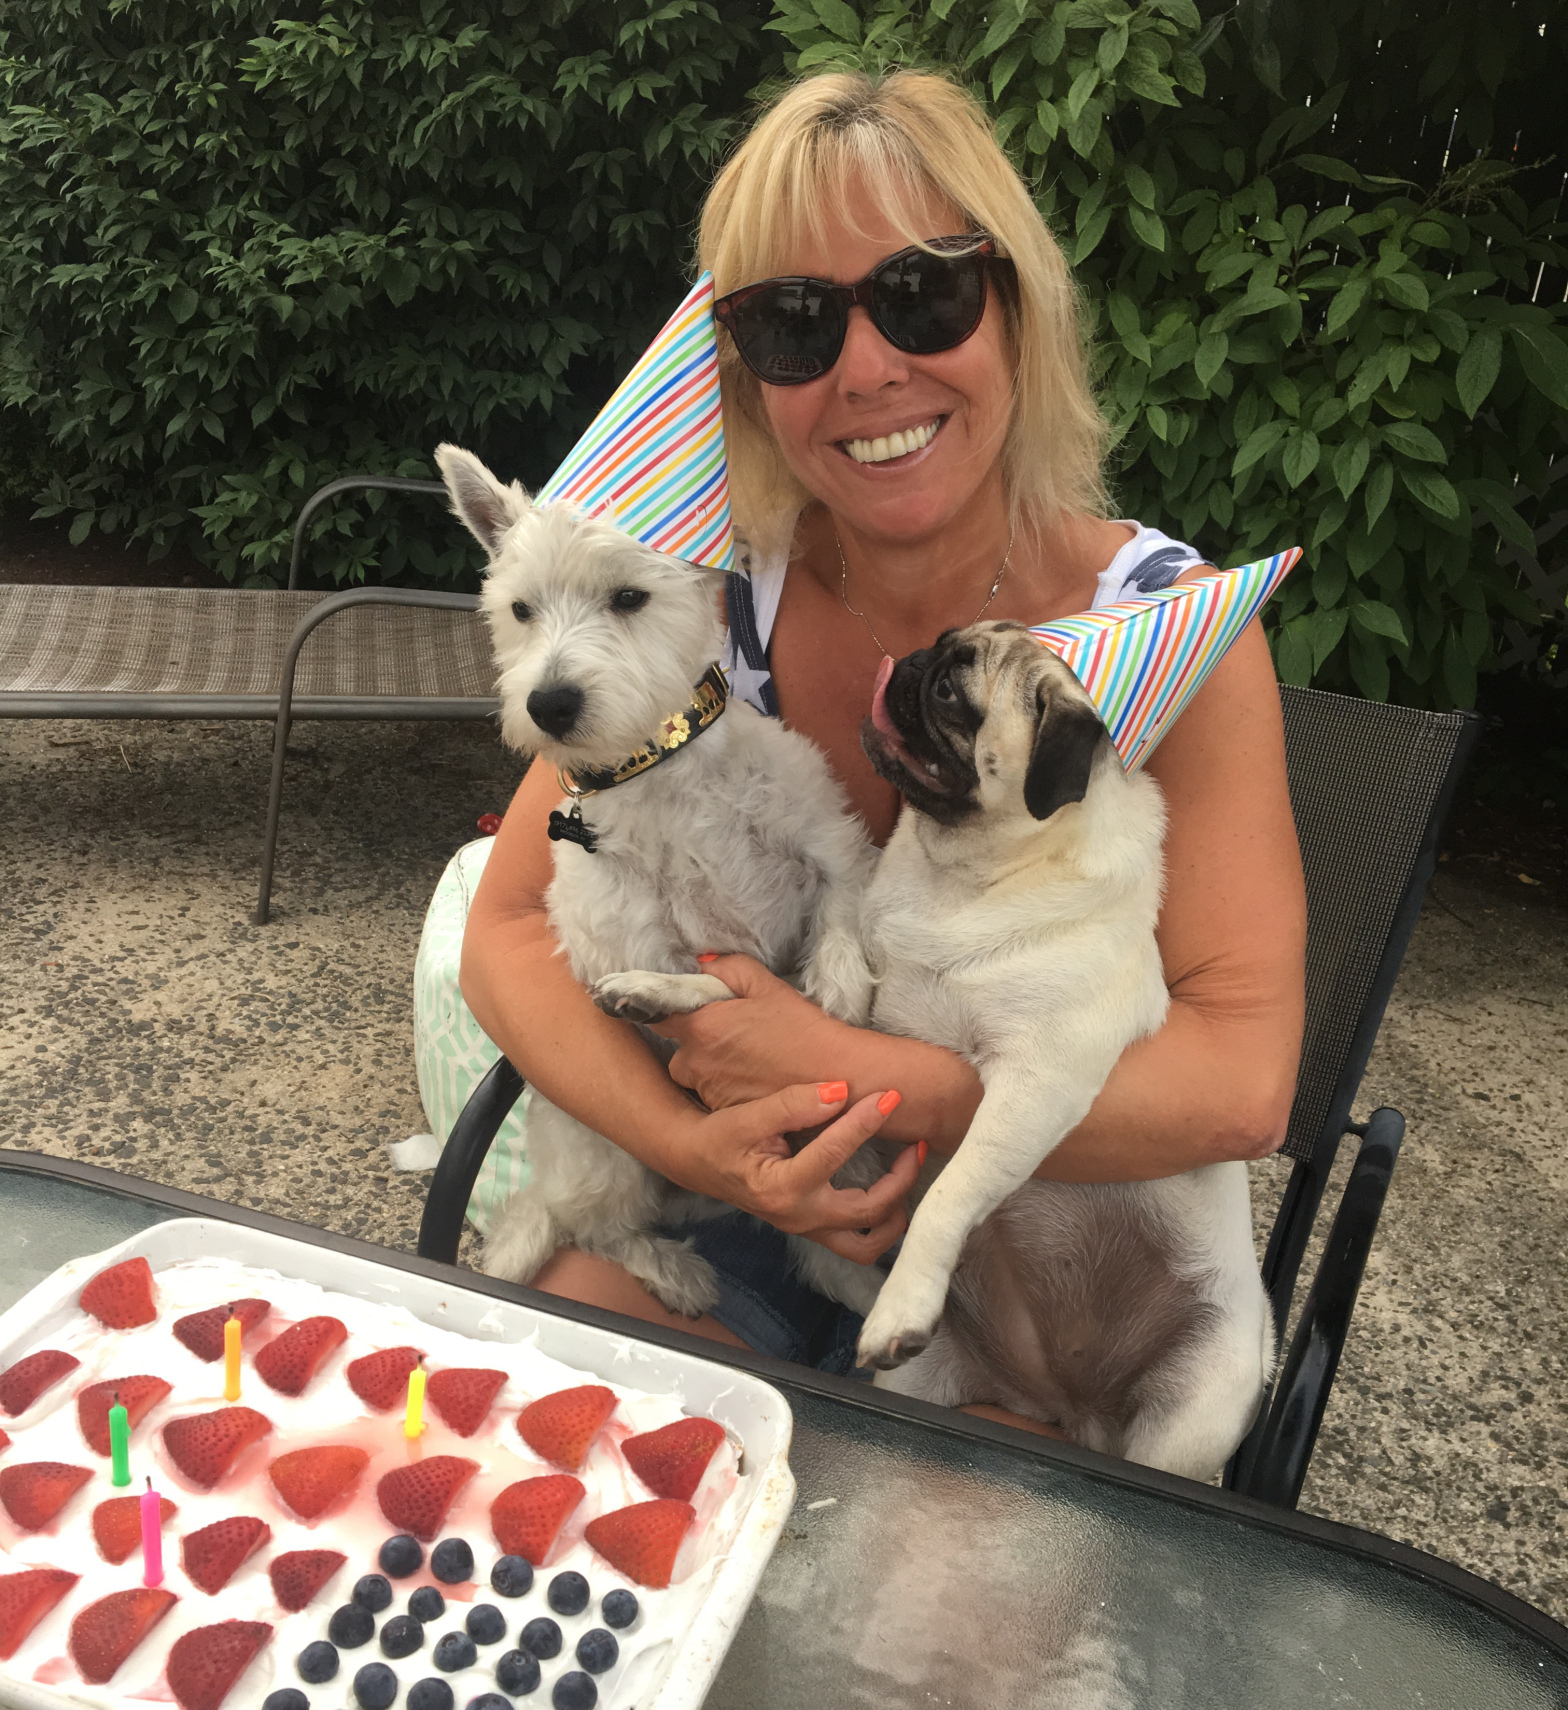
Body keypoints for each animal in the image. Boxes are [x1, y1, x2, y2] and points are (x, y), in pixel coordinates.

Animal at [434, 444, 889, 1320]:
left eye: (628, 597)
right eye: (520, 610)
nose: (549, 703)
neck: (662, 773)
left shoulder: (832, 844)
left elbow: (840, 911)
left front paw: (841, 982)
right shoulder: (640, 938)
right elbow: (711, 986)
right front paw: (649, 994)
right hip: (607, 1151)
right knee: (597, 1228)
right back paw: (677, 1270)